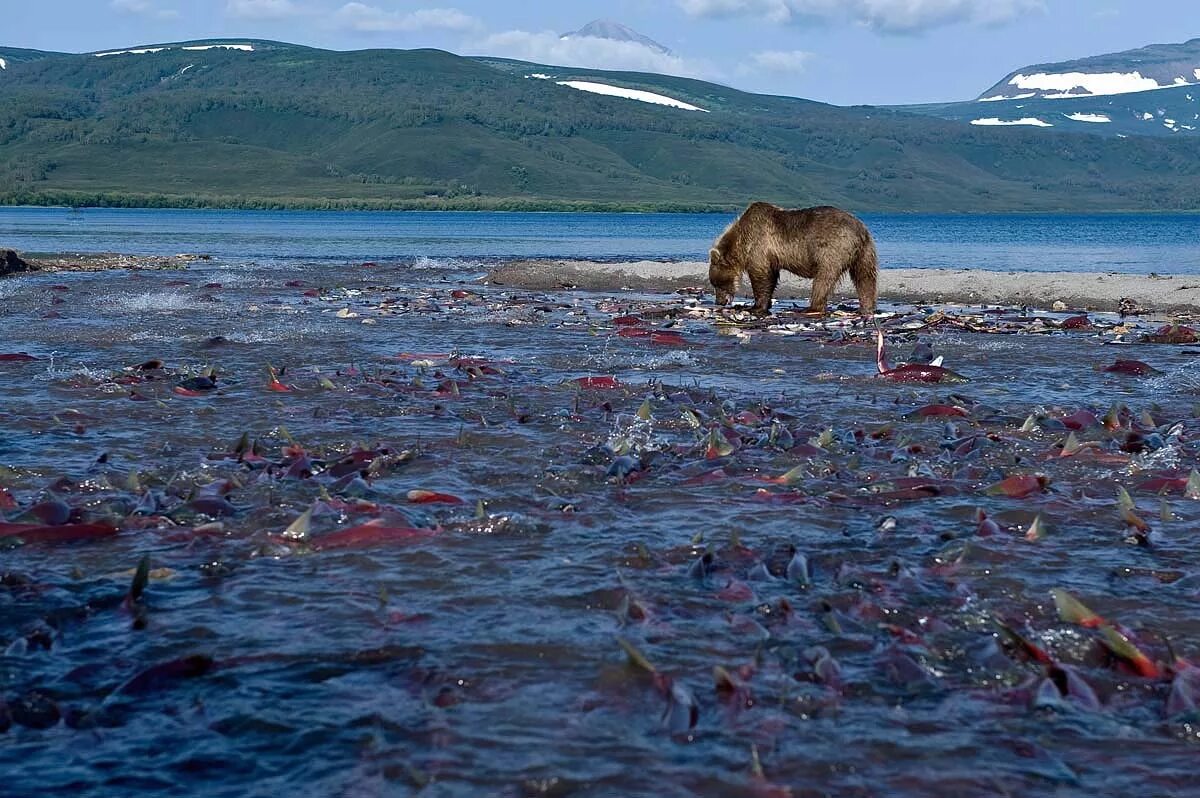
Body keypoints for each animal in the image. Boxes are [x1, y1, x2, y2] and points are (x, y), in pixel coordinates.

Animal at [705, 200, 878, 316]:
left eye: (718, 284)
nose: (719, 302)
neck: (741, 241)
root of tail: (860, 229)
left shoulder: (759, 245)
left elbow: (761, 276)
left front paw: (754, 306)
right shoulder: (771, 256)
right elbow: (771, 277)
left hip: (832, 248)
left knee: (824, 278)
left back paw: (810, 308)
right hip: (865, 252)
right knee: (865, 278)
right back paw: (867, 306)